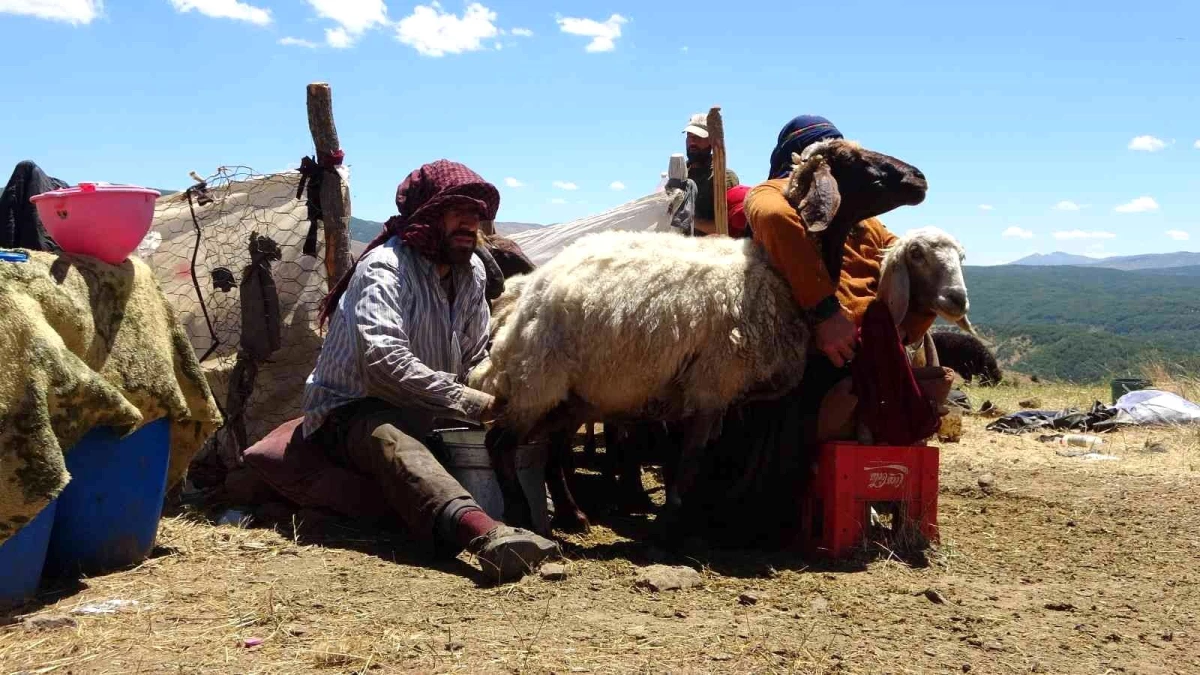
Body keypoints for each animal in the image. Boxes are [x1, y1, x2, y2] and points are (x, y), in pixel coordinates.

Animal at [468, 139, 926, 533]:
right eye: (853, 159)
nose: (919, 178)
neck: (780, 276)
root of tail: (526, 296)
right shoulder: (713, 384)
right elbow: (691, 460)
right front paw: (672, 522)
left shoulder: (736, 398)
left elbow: (733, 458)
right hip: (539, 381)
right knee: (499, 443)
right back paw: (519, 513)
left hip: (574, 394)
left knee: (544, 447)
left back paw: (570, 514)